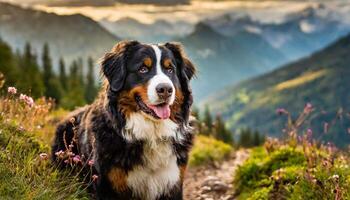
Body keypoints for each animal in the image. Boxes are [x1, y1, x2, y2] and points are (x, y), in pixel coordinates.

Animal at [51, 39, 196, 199]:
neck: (151, 132)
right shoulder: (107, 184)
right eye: (143, 69)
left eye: (170, 70)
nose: (166, 89)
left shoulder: (173, 181)